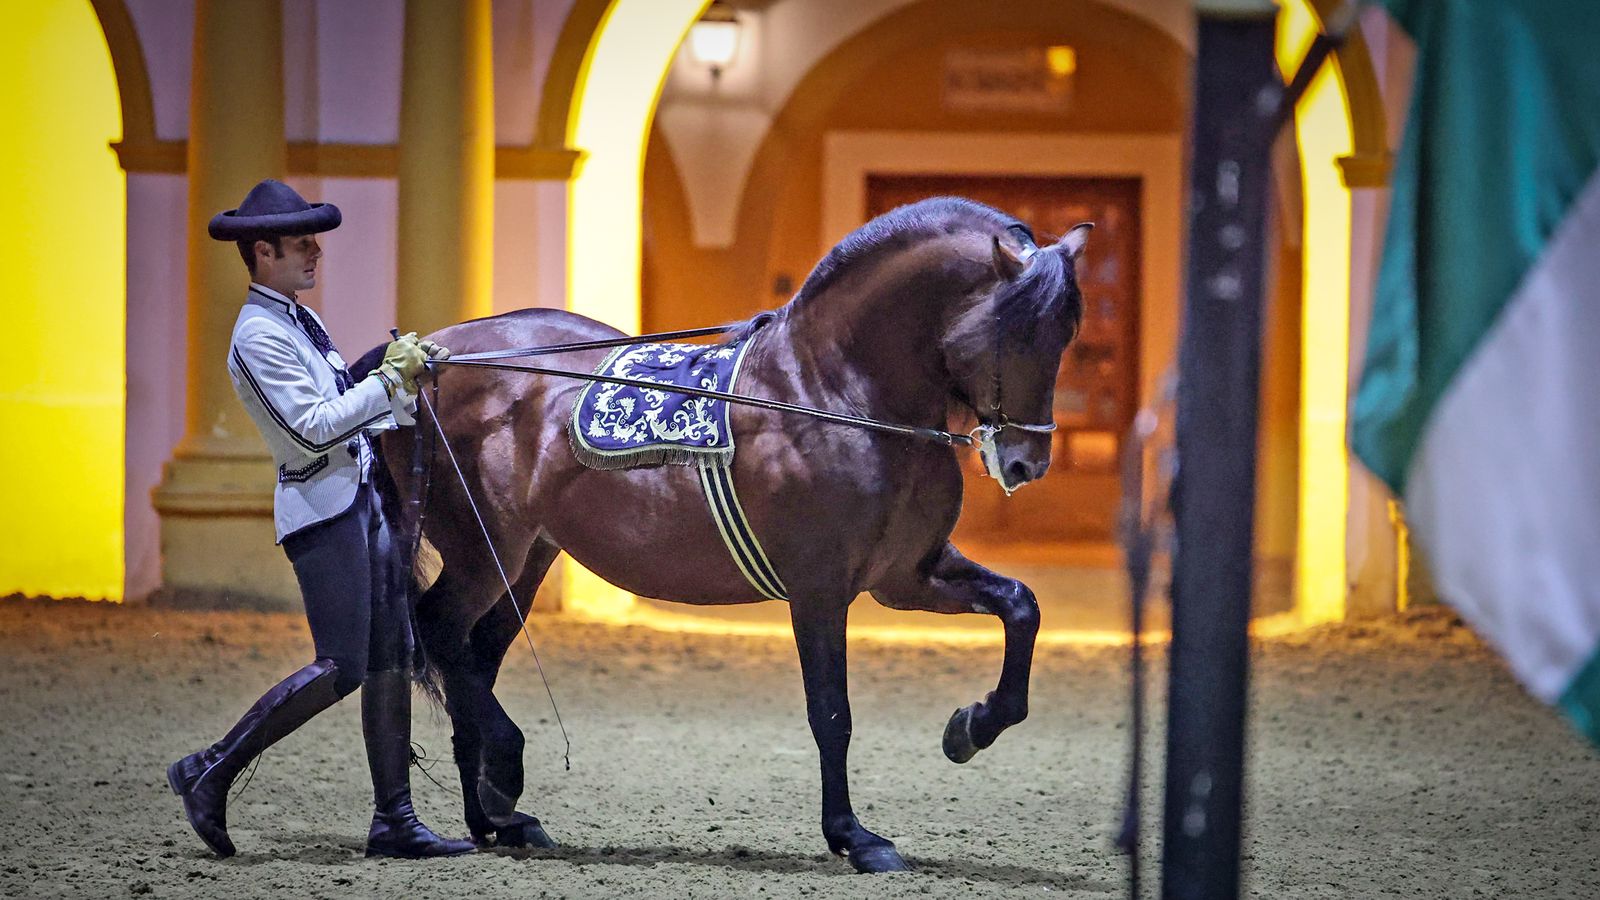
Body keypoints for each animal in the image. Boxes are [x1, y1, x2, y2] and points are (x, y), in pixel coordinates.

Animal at [371, 197, 1090, 873]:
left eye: (1066, 334)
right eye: (1016, 331)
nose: (1026, 463)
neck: (833, 394)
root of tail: (421, 361)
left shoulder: (907, 576)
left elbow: (1021, 606)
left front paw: (971, 727)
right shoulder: (820, 589)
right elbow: (832, 713)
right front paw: (855, 837)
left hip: (526, 558)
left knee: (472, 657)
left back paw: (496, 819)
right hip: (484, 548)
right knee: (440, 630)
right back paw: (504, 778)